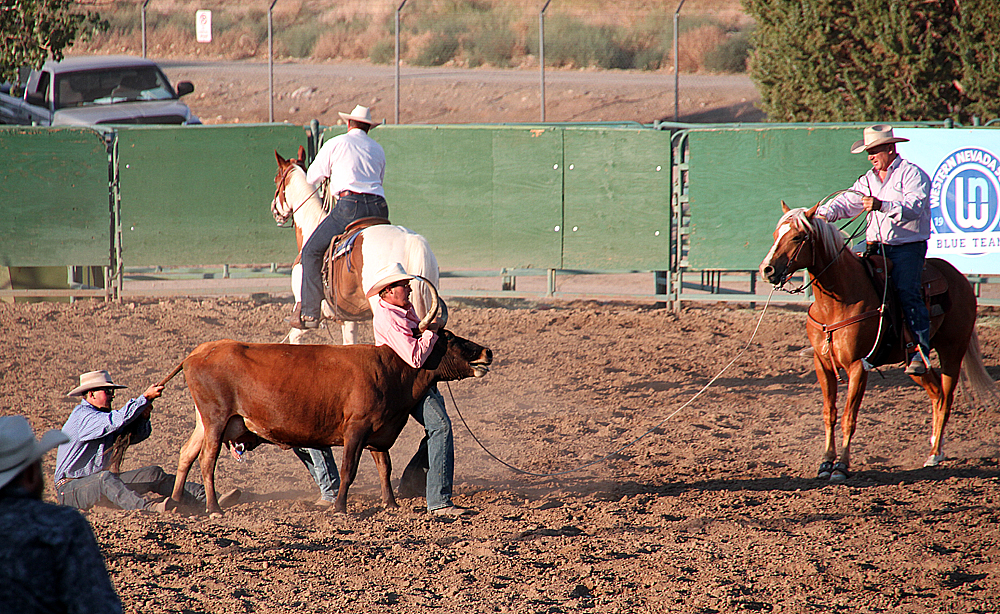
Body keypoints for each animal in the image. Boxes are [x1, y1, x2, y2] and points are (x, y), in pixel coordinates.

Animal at [162, 293, 492, 515]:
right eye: (448, 338)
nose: (487, 351)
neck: (390, 366)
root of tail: (197, 352)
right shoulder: (356, 428)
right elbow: (349, 469)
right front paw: (340, 508)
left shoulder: (379, 432)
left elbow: (385, 468)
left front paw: (391, 503)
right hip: (216, 418)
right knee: (207, 460)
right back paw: (214, 508)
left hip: (204, 421)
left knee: (186, 454)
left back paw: (176, 502)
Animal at [271, 148, 439, 345]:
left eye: (276, 179)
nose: (274, 210)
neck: (312, 225)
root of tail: (412, 241)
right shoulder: (349, 320)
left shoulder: (306, 318)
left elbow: (294, 336)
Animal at [759, 201, 996, 482]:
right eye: (776, 234)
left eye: (797, 237)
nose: (766, 270)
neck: (837, 302)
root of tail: (960, 278)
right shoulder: (822, 365)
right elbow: (829, 414)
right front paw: (825, 463)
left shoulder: (858, 366)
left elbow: (849, 417)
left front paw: (841, 467)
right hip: (917, 364)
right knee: (936, 393)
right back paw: (933, 445)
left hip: (952, 350)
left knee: (946, 398)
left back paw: (935, 454)